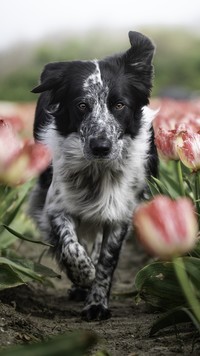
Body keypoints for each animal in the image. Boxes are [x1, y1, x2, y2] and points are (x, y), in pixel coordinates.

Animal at [29, 29, 158, 320]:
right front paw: (83, 275)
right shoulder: (55, 206)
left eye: (119, 105)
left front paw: (97, 302)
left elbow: (106, 262)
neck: (97, 171)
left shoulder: (120, 213)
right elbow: (71, 246)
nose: (101, 147)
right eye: (81, 105)